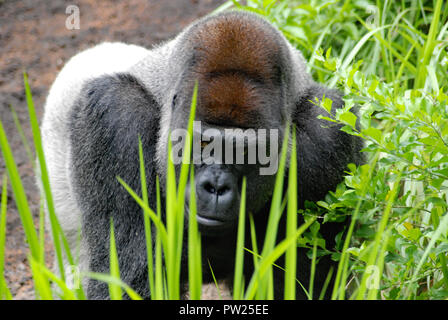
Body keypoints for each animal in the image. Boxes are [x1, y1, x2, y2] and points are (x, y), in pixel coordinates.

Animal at [39, 10, 364, 300]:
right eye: (202, 144)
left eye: (244, 151)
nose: (216, 187)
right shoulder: (115, 116)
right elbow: (128, 277)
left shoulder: (329, 133)